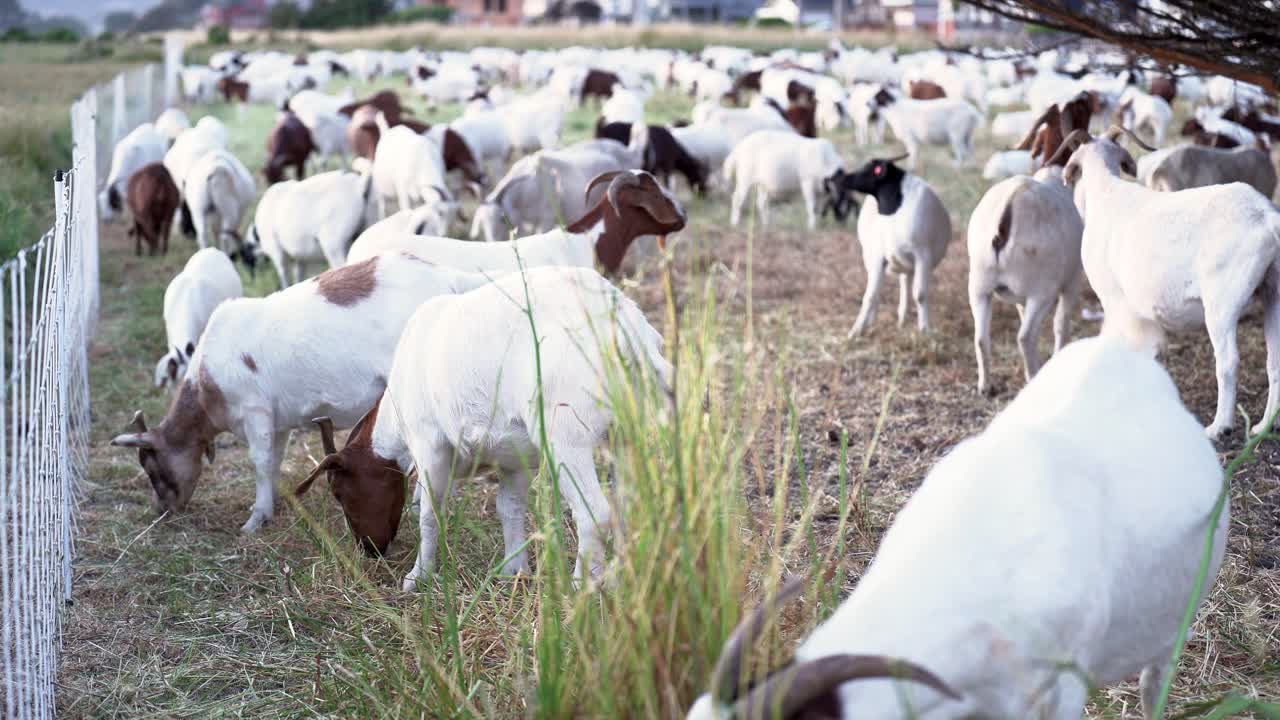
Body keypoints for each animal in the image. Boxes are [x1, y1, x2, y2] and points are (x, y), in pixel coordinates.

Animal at [295, 265, 670, 582]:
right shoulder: (514, 459)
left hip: (565, 437)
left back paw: (583, 587)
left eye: (338, 492)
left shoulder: (429, 445)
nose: (370, 549)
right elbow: (510, 509)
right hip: (626, 432)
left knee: (595, 512)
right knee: (627, 504)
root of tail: (627, 324)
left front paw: (418, 577)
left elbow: (430, 512)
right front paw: (513, 571)